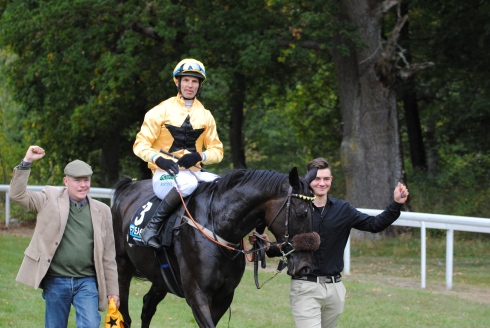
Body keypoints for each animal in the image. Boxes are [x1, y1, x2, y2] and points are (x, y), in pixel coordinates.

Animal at [110, 168, 318, 326]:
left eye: (314, 212)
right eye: (301, 214)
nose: (305, 266)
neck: (217, 225)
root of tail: (129, 186)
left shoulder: (224, 296)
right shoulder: (197, 295)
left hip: (160, 276)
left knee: (147, 307)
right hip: (122, 265)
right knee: (125, 314)